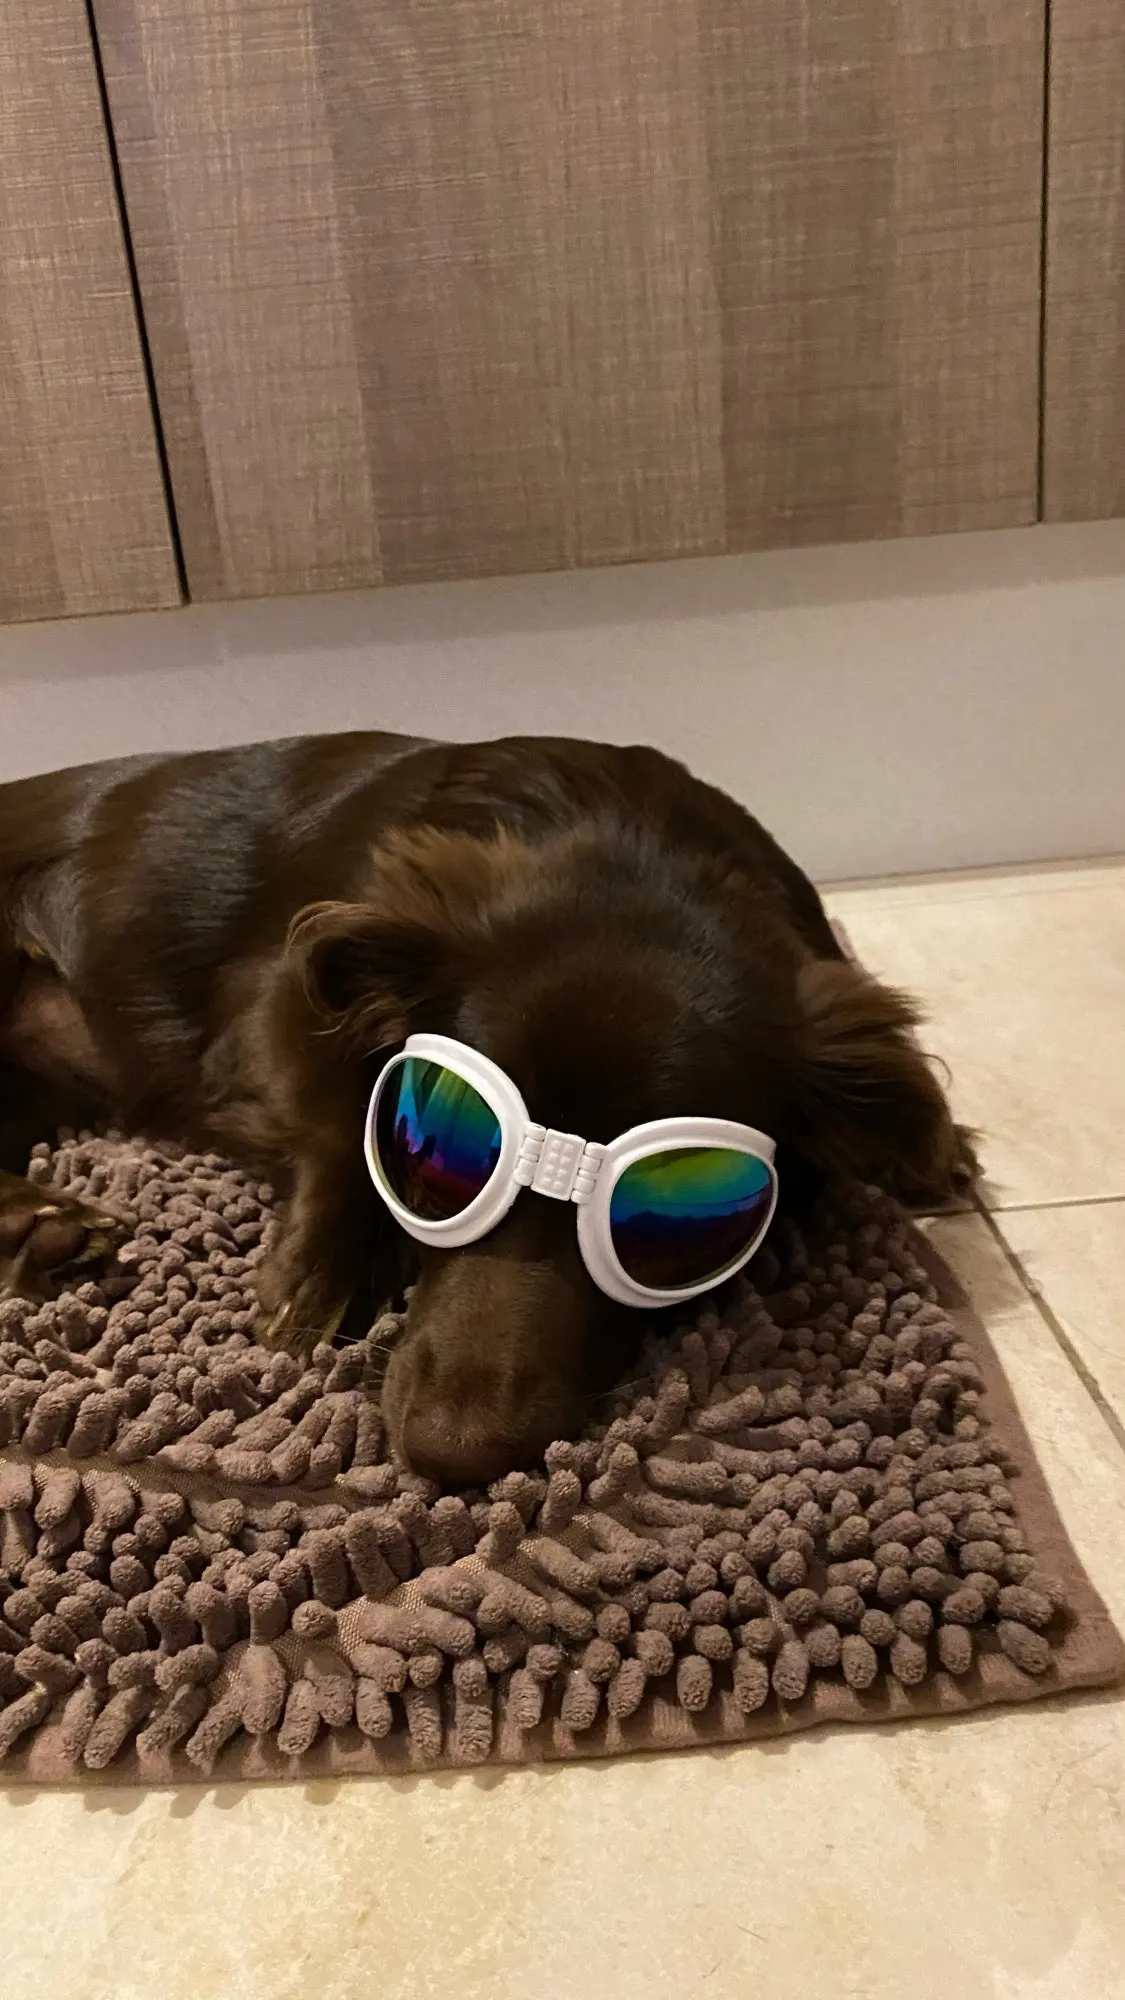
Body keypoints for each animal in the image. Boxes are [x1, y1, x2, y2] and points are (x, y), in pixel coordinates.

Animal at [0, 732, 974, 1482]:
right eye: (437, 1156)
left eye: (664, 1219)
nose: (451, 1455)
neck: (635, 843)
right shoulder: (270, 1000)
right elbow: (336, 1118)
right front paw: (317, 1276)